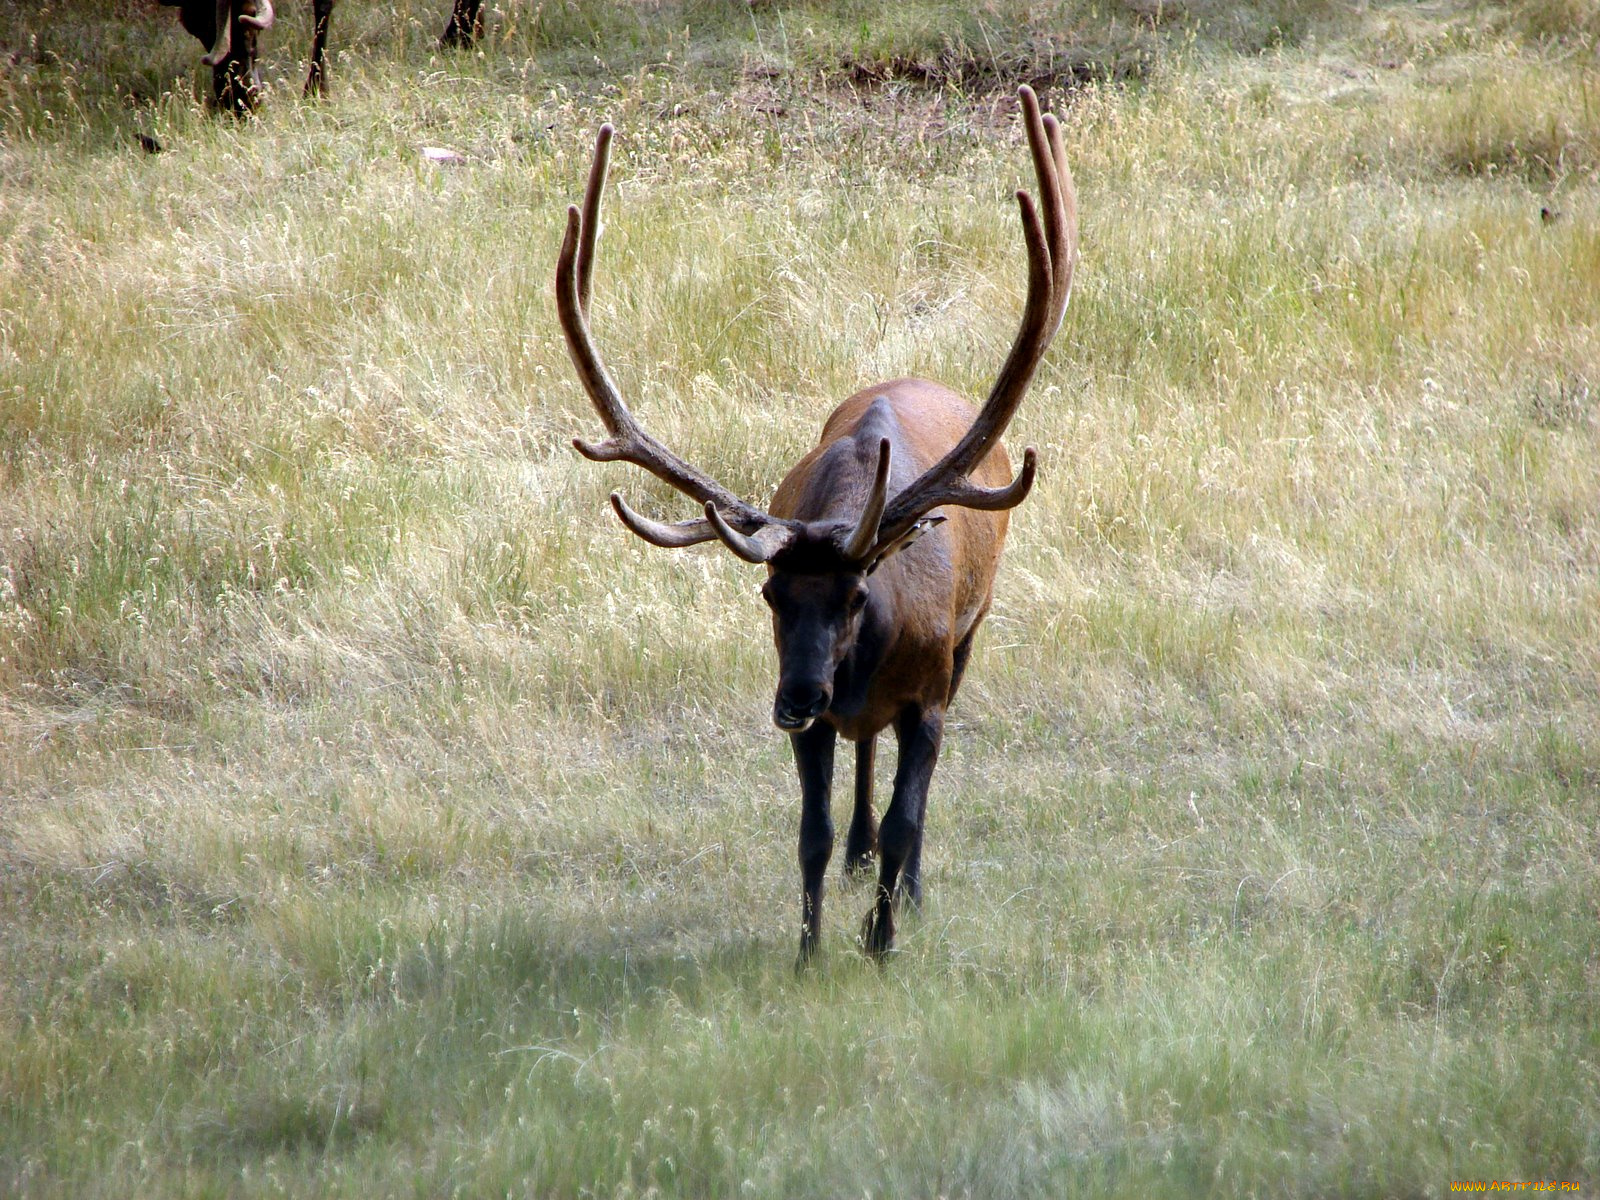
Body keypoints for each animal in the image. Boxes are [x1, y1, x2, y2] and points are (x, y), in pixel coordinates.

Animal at [556, 84, 1081, 966]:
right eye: (770, 596)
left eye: (856, 596)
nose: (795, 696)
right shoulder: (814, 726)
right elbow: (813, 833)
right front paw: (808, 952)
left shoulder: (929, 694)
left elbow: (909, 817)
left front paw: (883, 935)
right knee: (861, 752)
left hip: (971, 636)